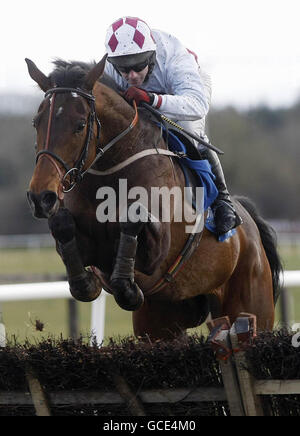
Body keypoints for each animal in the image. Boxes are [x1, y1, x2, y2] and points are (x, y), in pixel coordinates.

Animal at [24, 54, 282, 340]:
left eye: (80, 125)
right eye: (36, 122)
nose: (41, 196)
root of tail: (251, 229)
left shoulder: (159, 255)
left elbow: (133, 219)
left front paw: (127, 287)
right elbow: (62, 225)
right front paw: (86, 283)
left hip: (250, 308)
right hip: (161, 323)